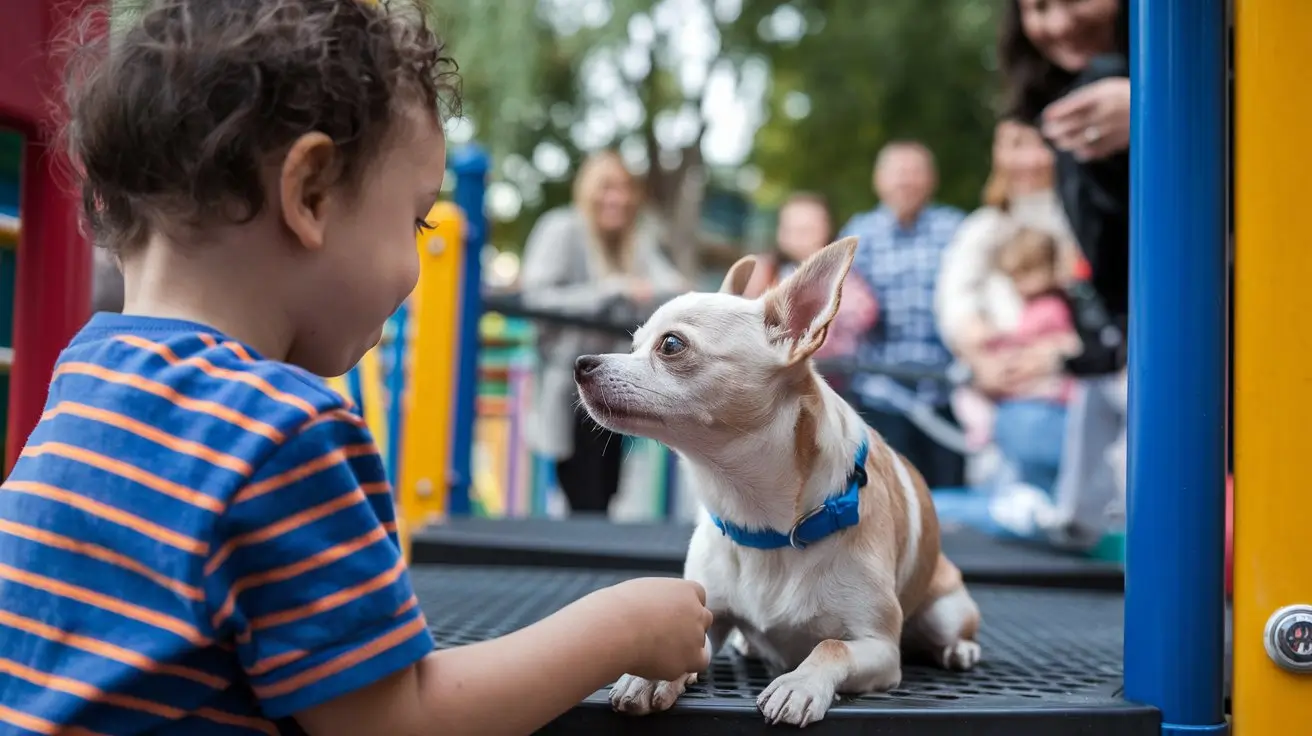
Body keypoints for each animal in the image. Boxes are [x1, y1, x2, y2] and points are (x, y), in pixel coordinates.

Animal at [577, 236, 986, 724]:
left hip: (946, 609)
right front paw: (654, 672)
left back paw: (960, 650)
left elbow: (830, 646)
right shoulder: (705, 616)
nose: (582, 362)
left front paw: (799, 684)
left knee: (949, 631)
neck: (760, 519)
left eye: (671, 345)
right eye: (634, 344)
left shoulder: (881, 649)